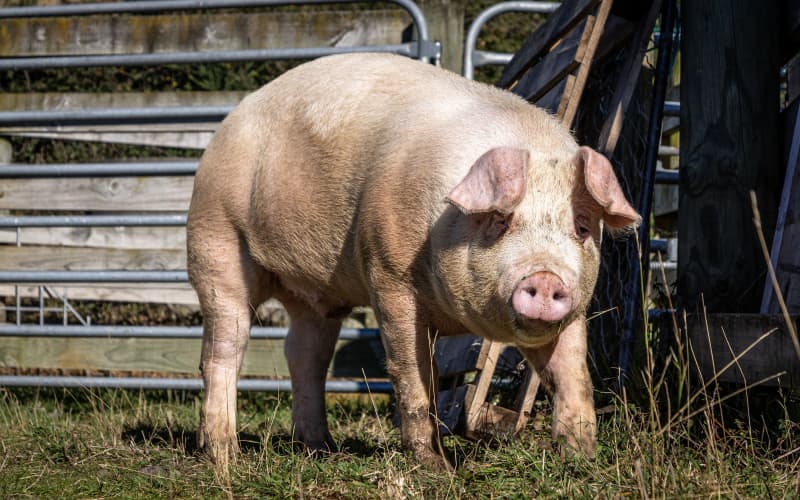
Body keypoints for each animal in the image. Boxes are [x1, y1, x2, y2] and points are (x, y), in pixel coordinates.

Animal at [186, 52, 640, 469]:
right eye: (500, 220)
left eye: (581, 226)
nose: (545, 276)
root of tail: (230, 121)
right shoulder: (388, 273)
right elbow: (413, 373)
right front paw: (435, 468)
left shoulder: (577, 306)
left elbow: (572, 374)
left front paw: (582, 459)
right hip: (214, 239)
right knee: (223, 351)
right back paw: (225, 456)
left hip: (314, 298)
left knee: (304, 356)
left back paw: (321, 449)